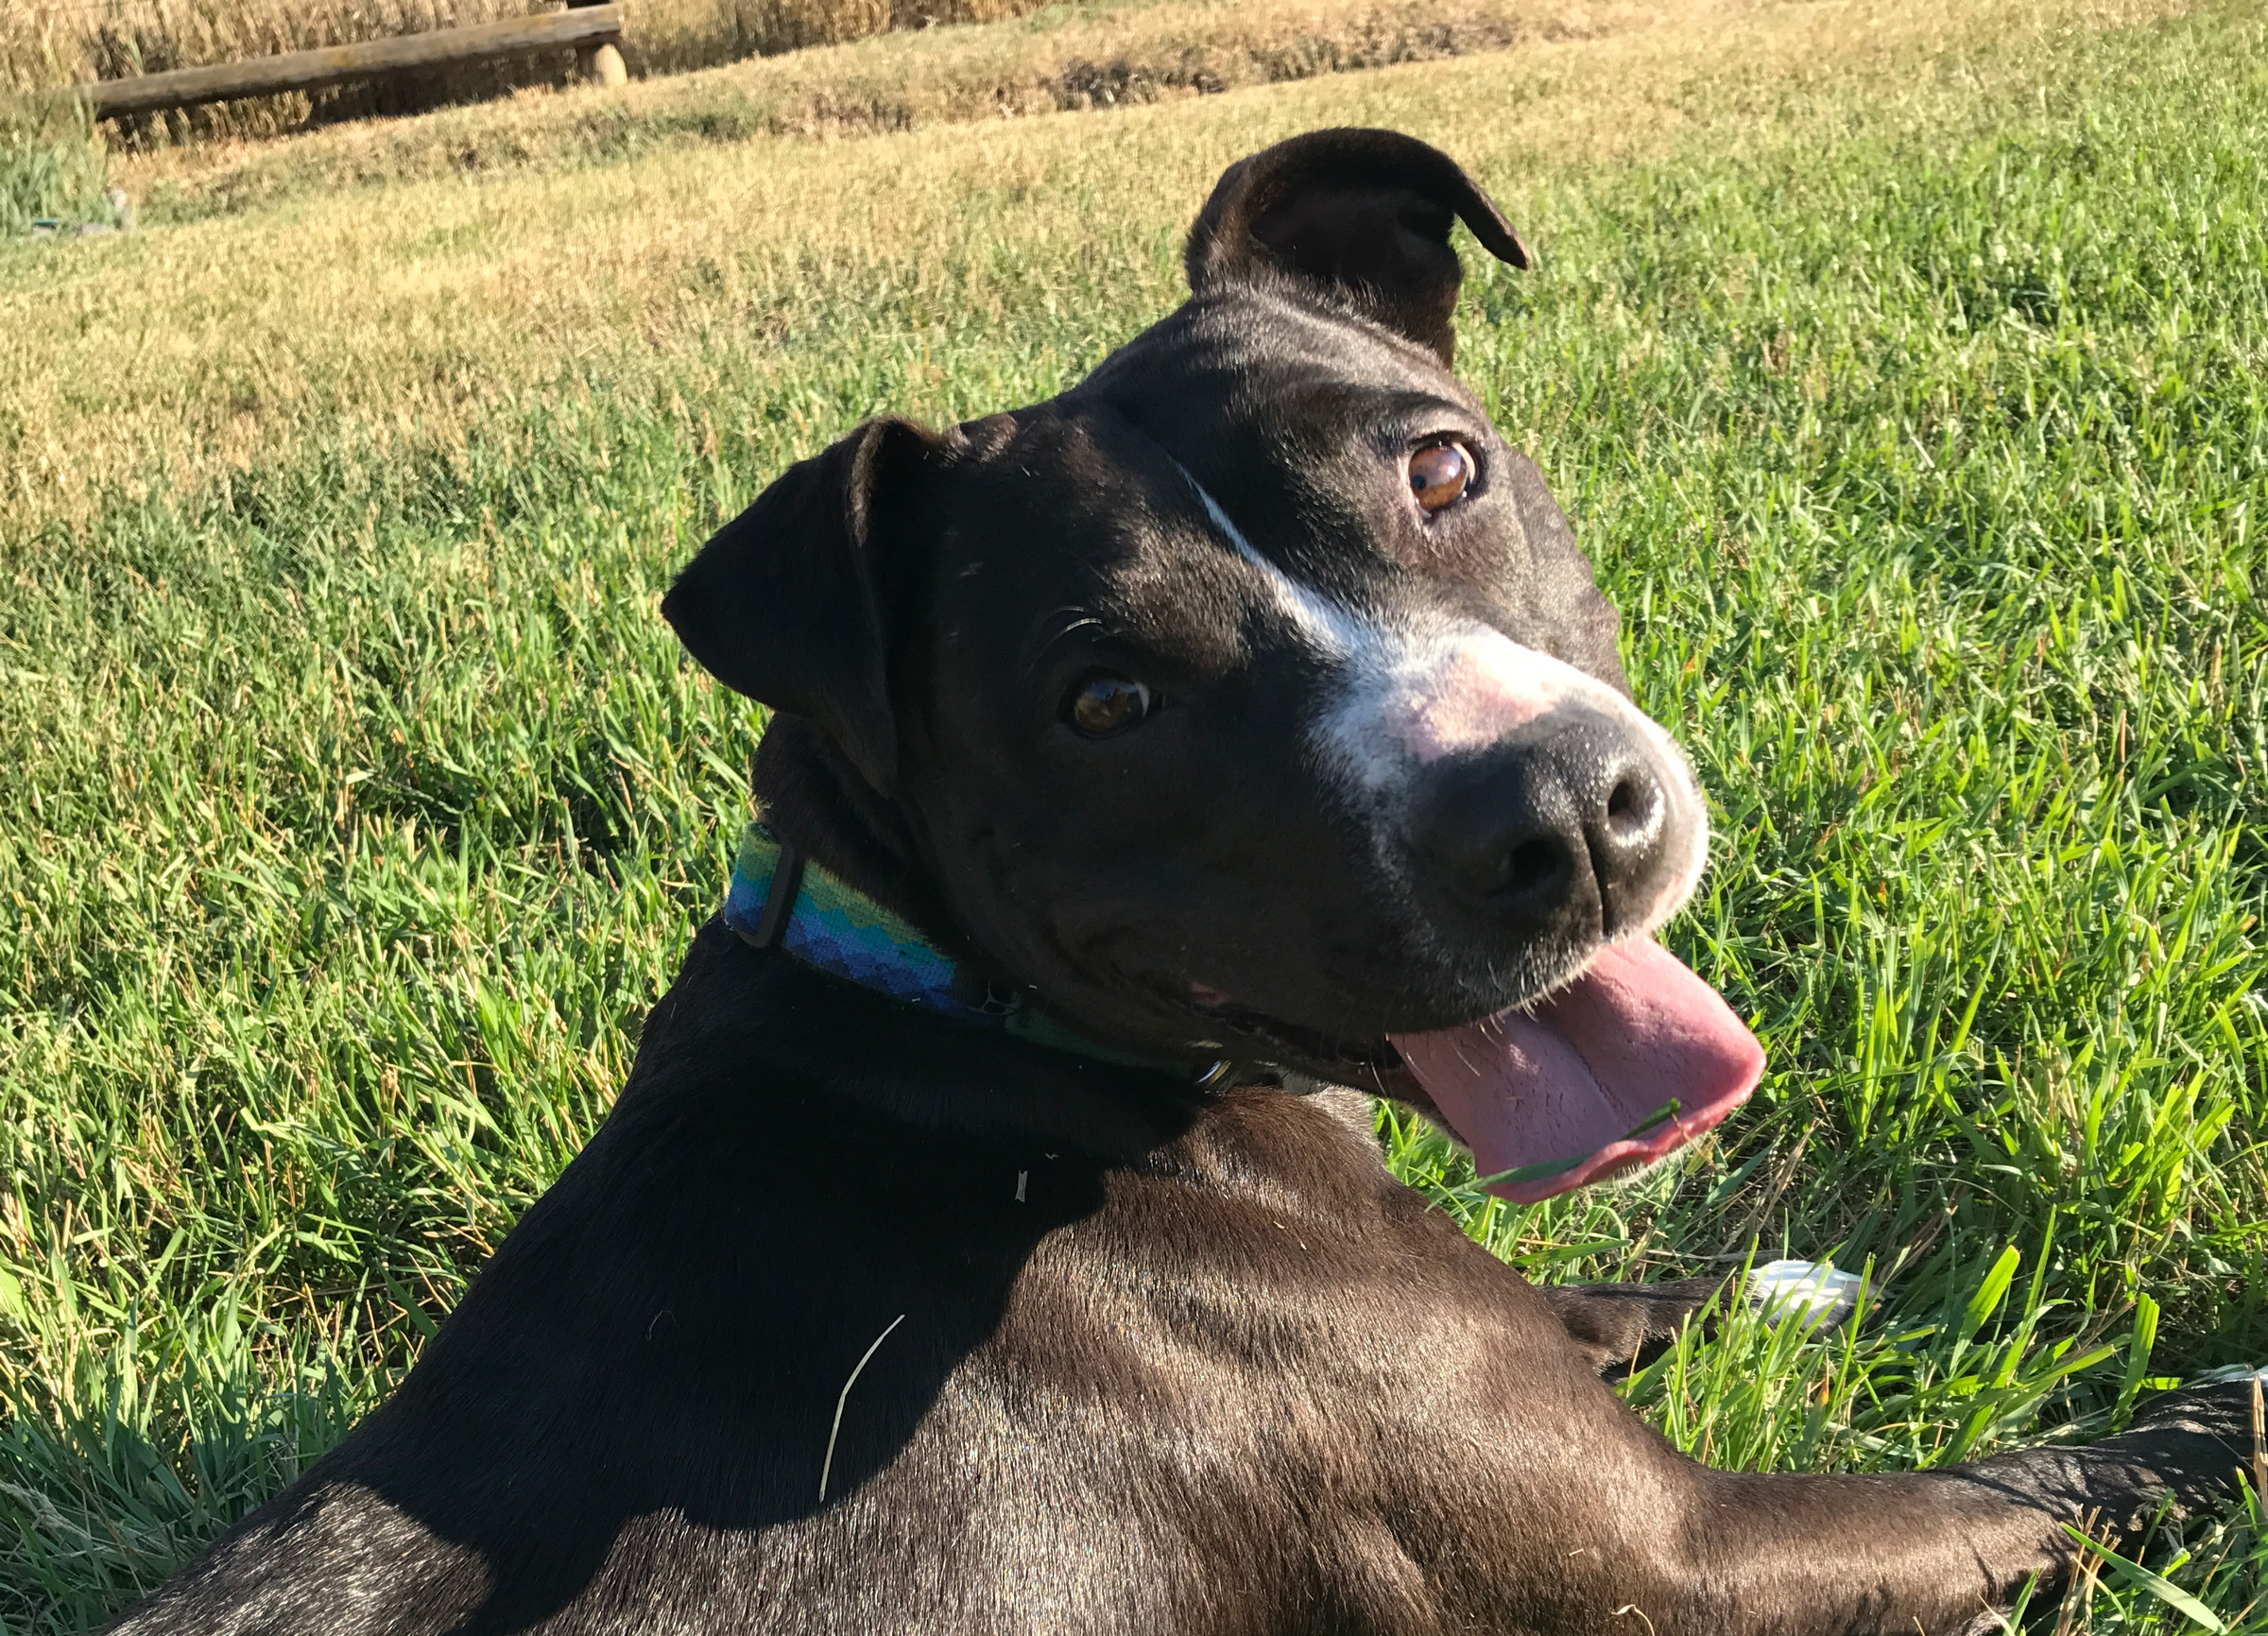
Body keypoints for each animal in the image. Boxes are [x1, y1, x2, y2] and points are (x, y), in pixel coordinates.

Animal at [114, 128, 2259, 1633]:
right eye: (1105, 698)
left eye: (1444, 468)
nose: (1565, 812)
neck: (969, 1027)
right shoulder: (1688, 1549)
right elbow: (2015, 1484)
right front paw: (2226, 1407)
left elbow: (1594, 1282)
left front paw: (1793, 1281)